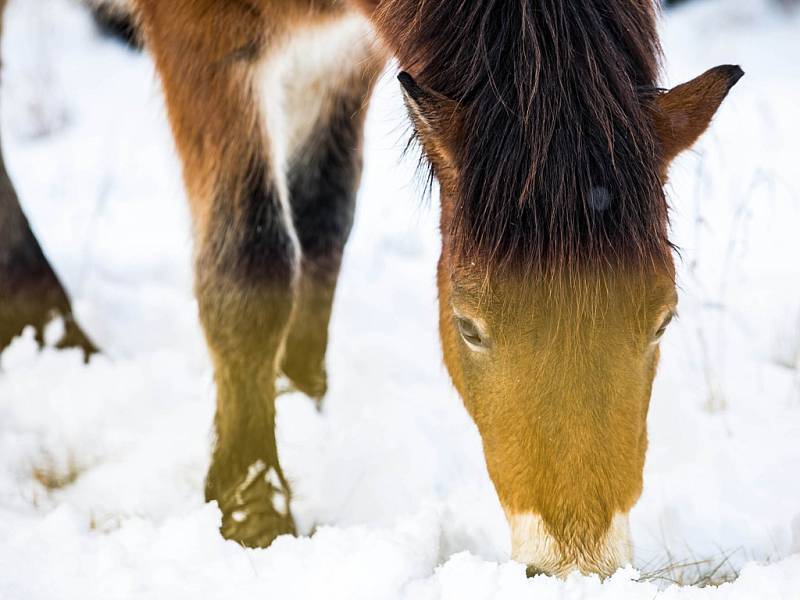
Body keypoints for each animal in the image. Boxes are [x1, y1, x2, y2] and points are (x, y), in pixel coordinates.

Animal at [0, 0, 740, 580]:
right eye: (468, 325)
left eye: (663, 320)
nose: (576, 566)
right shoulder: (204, 38)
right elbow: (252, 260)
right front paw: (251, 506)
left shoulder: (341, 52)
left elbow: (325, 217)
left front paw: (302, 400)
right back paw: (50, 325)